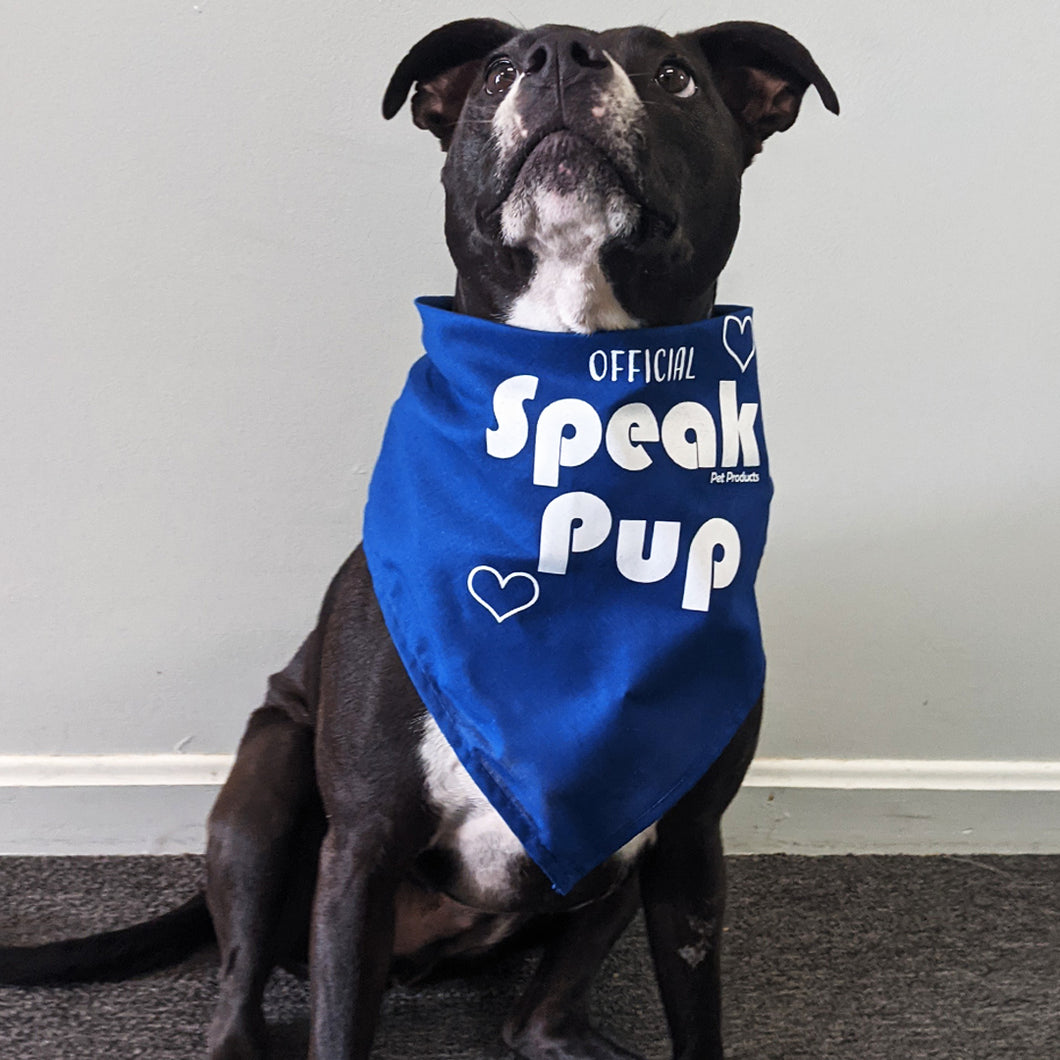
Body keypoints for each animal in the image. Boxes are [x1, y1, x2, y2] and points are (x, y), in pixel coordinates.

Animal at [4, 18, 839, 1060]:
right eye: (496, 69)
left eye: (677, 76)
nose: (558, 57)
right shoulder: (361, 852)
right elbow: (337, 1024)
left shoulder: (687, 851)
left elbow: (699, 1020)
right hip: (267, 782)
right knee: (236, 988)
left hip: (613, 863)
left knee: (536, 1015)